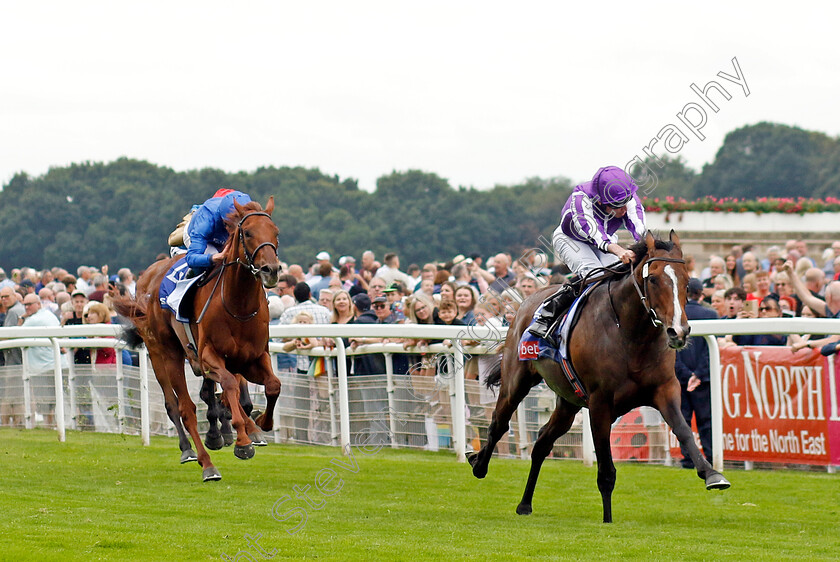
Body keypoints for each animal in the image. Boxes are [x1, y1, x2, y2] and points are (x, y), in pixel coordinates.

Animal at [113, 196, 284, 476]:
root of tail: (149, 277)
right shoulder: (208, 357)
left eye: (275, 232)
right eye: (247, 233)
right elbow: (228, 386)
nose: (271, 270)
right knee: (181, 408)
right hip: (163, 353)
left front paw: (260, 423)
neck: (238, 306)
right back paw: (201, 459)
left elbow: (271, 385)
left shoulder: (254, 357)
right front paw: (242, 440)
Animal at [470, 229, 732, 520]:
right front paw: (607, 520)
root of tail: (524, 304)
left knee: (542, 443)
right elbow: (606, 470)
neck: (630, 334)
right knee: (499, 422)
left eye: (686, 281)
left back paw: (525, 504)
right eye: (653, 279)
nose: (679, 332)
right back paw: (478, 464)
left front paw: (712, 474)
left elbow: (684, 430)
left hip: (568, 401)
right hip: (517, 380)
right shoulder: (600, 402)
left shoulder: (665, 389)